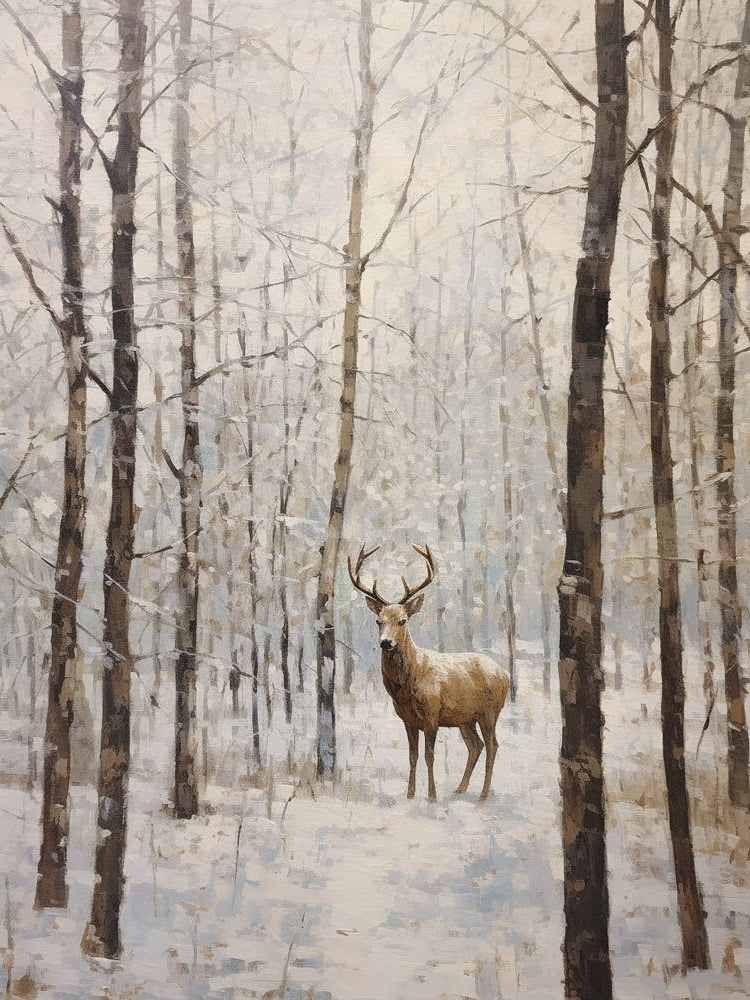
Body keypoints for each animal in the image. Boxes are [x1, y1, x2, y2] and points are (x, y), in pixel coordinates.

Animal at [348, 543, 509, 802]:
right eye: (378, 621)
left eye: (403, 620)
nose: (385, 642)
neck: (408, 686)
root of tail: (504, 673)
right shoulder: (408, 720)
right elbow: (412, 756)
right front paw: (410, 794)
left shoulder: (432, 715)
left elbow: (429, 756)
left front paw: (431, 796)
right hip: (466, 719)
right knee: (476, 746)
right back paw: (460, 788)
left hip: (490, 711)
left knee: (493, 745)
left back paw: (483, 794)